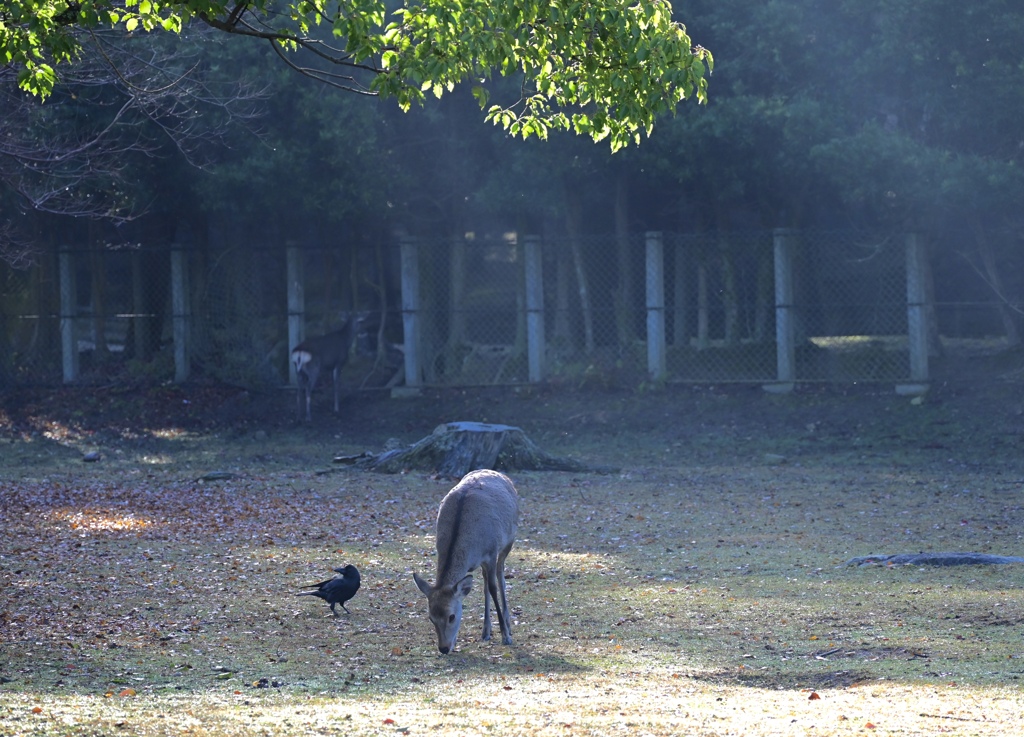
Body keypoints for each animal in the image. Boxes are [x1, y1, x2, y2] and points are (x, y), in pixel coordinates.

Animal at [411, 468, 520, 655]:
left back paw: (507, 624)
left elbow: (494, 588)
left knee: (500, 577)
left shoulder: (491, 552)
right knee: (485, 583)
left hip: (509, 541)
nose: (443, 648)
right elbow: (486, 588)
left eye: (452, 616)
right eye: (431, 618)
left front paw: (506, 636)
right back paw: (486, 631)